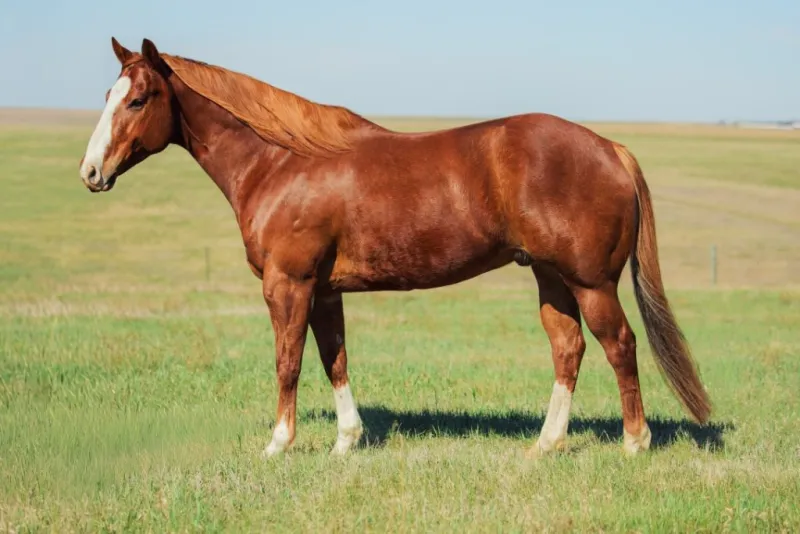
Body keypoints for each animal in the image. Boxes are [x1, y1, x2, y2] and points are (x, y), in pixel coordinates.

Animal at [78, 37, 711, 458]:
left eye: (138, 100)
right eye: (109, 94)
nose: (90, 172)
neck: (281, 162)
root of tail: (610, 148)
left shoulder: (288, 284)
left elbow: (288, 361)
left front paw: (278, 445)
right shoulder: (324, 291)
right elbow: (334, 358)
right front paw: (345, 442)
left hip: (591, 282)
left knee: (619, 345)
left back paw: (634, 444)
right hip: (552, 278)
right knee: (568, 348)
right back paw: (546, 445)